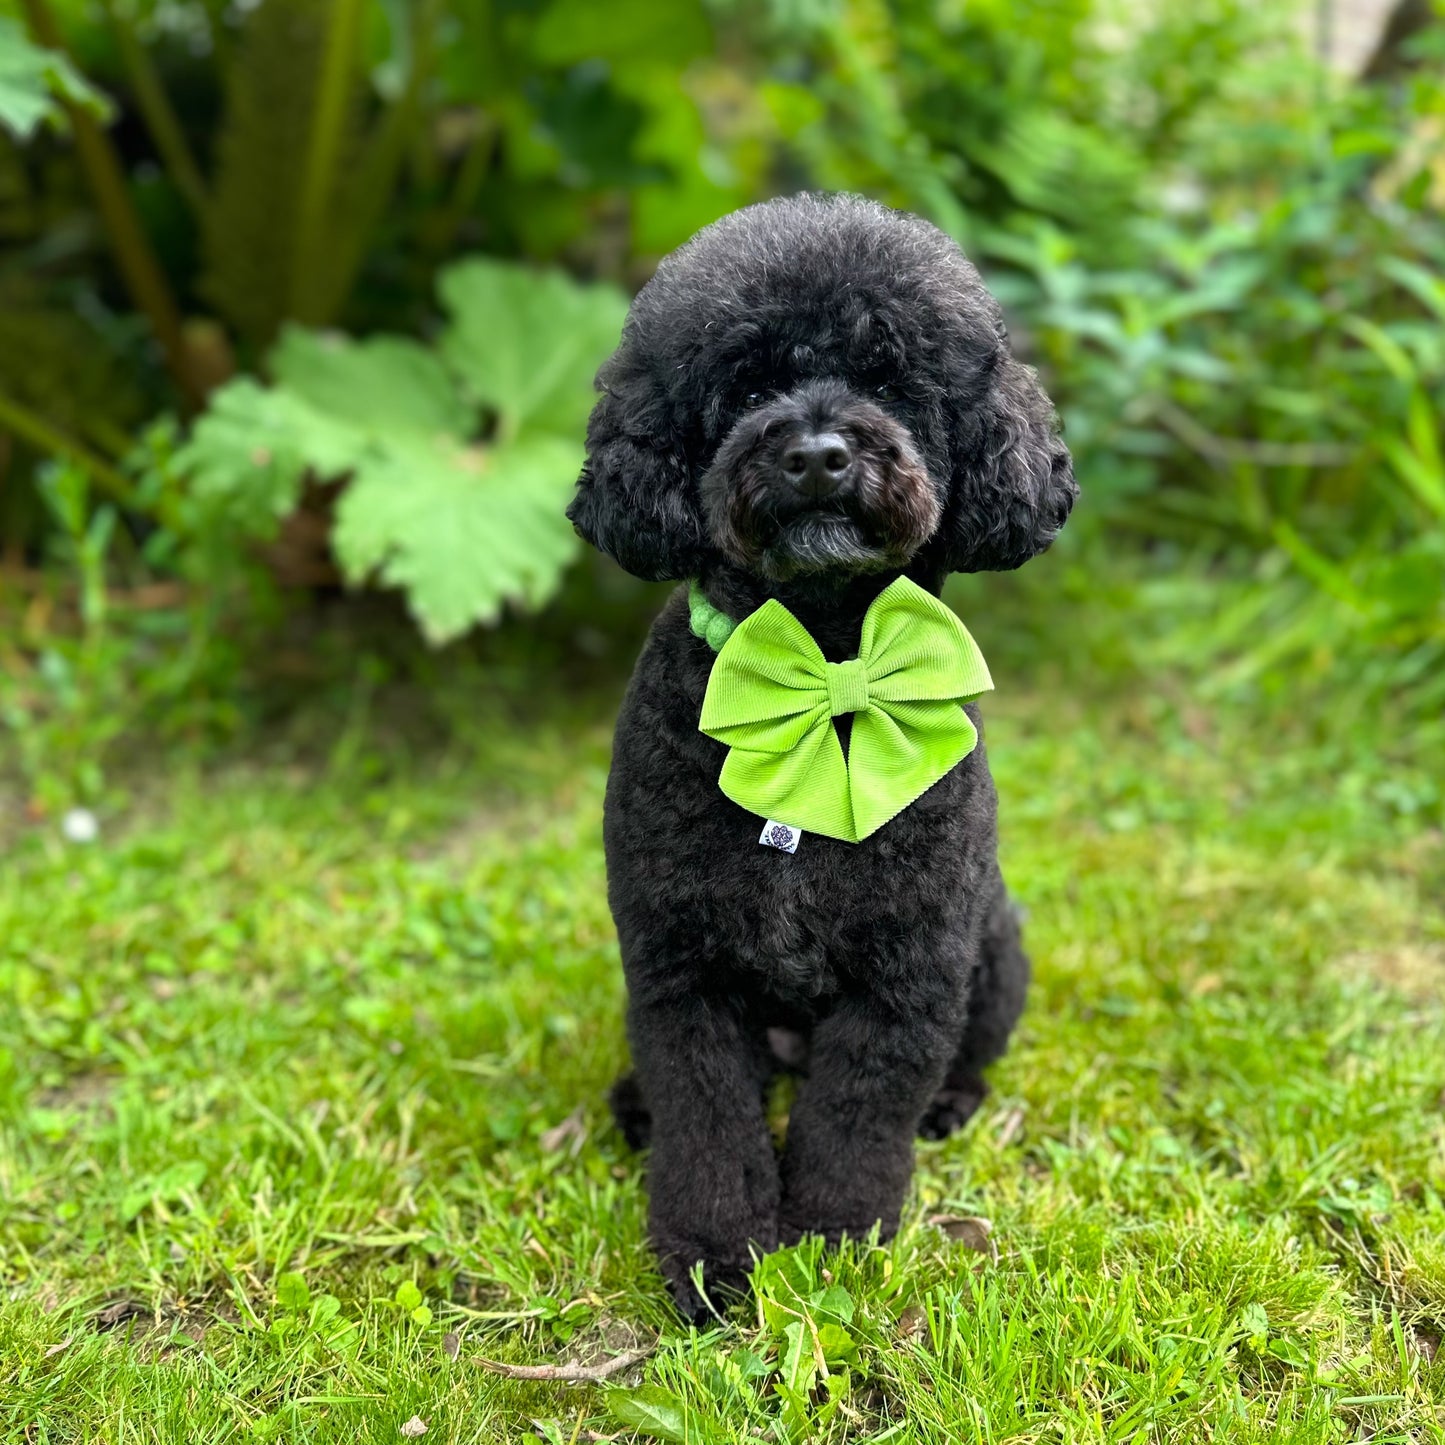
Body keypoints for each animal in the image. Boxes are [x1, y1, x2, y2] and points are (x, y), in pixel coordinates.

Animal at [563, 192, 1075, 1323]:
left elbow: (857, 1118)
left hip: (995, 947)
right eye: (747, 385)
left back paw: (950, 1103)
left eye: (889, 380)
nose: (815, 453)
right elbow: (707, 1121)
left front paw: (836, 1242)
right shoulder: (680, 967)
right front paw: (714, 1261)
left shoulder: (909, 969)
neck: (828, 662)